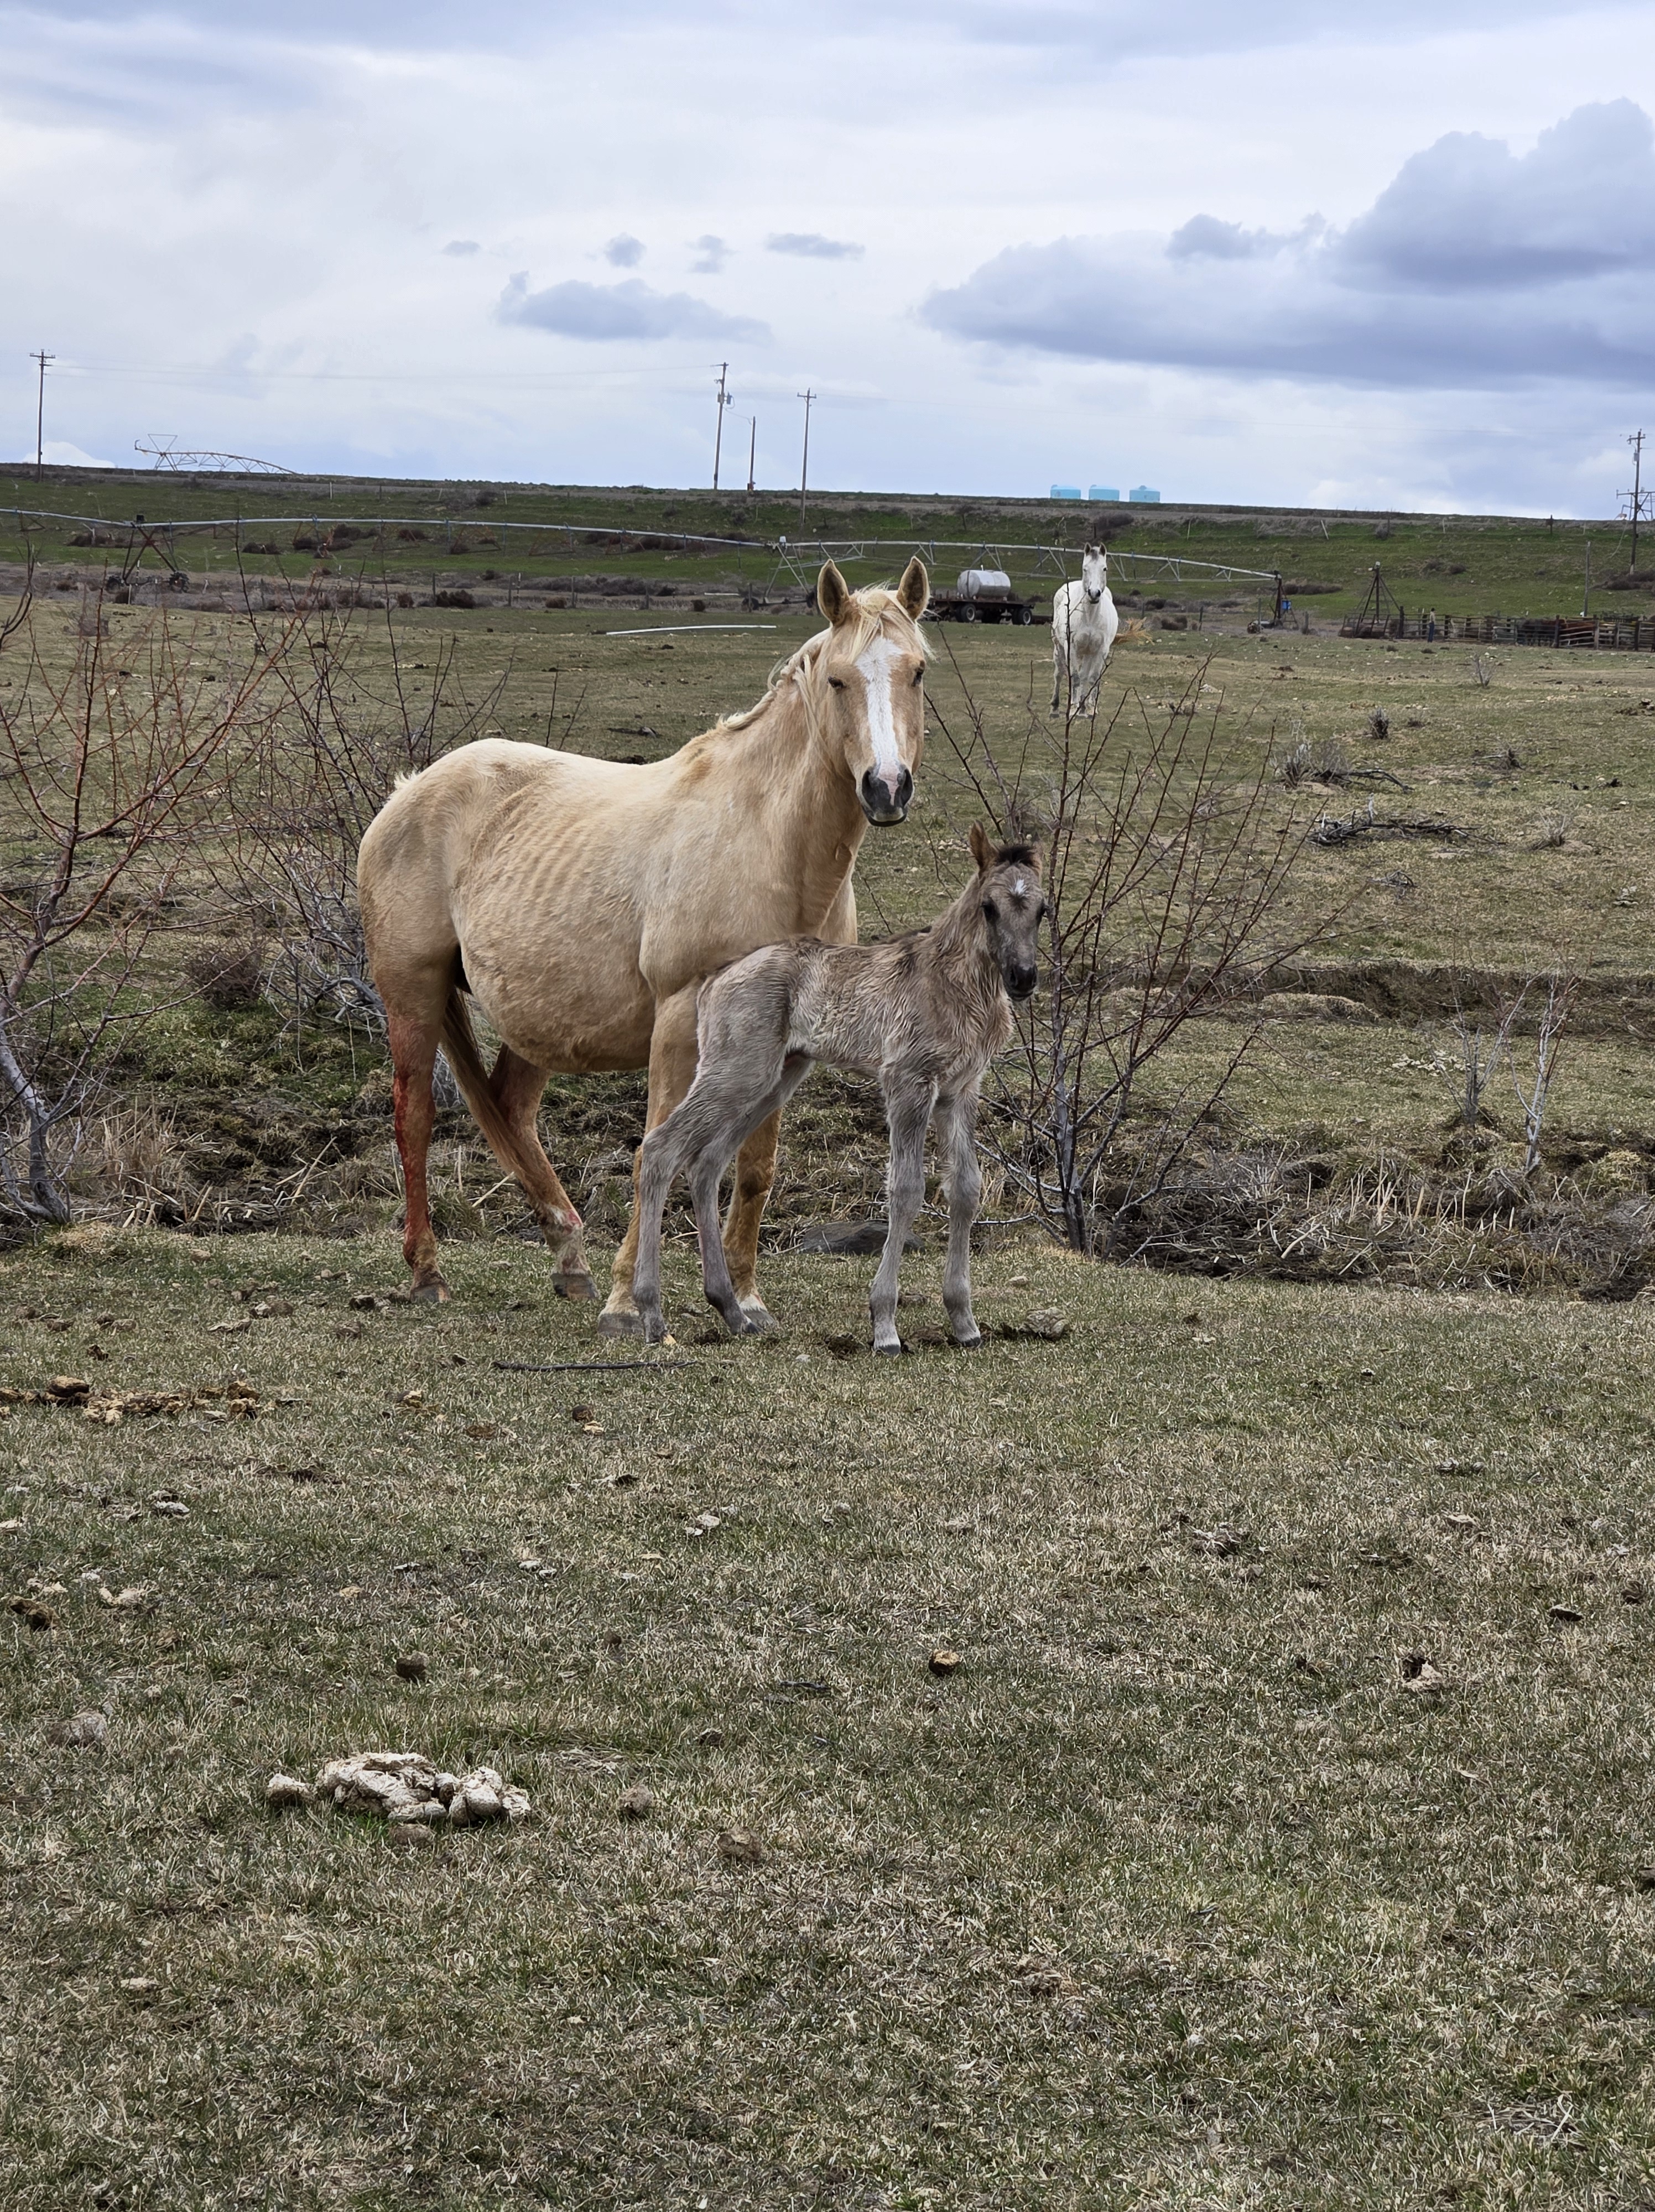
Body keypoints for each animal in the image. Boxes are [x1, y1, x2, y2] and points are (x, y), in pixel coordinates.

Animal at [357, 557, 931, 1335]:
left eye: (918, 672)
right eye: (839, 679)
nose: (886, 787)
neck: (769, 844)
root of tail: (411, 791)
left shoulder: (785, 1044)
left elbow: (754, 1169)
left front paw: (745, 1295)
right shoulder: (679, 1019)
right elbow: (654, 1151)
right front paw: (629, 1302)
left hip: (542, 1019)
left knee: (511, 1111)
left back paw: (568, 1254)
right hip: (412, 996)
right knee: (413, 1118)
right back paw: (427, 1272)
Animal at [631, 826, 1044, 1355]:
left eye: (1042, 909)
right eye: (989, 907)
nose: (1023, 978)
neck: (961, 987)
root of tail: (714, 980)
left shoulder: (961, 1089)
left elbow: (967, 1188)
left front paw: (964, 1321)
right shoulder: (907, 1080)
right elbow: (907, 1188)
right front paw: (884, 1324)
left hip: (773, 1079)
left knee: (707, 1163)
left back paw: (732, 1311)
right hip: (737, 1070)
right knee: (662, 1147)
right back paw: (651, 1313)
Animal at [1050, 542, 1119, 715]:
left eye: (1104, 568)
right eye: (1085, 568)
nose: (1094, 594)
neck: (1090, 617)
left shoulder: (1101, 650)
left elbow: (1092, 678)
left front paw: (1091, 709)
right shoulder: (1071, 647)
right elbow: (1075, 677)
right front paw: (1073, 708)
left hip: (1088, 653)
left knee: (1084, 675)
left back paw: (1082, 705)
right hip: (1058, 647)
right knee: (1059, 673)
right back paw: (1055, 706)